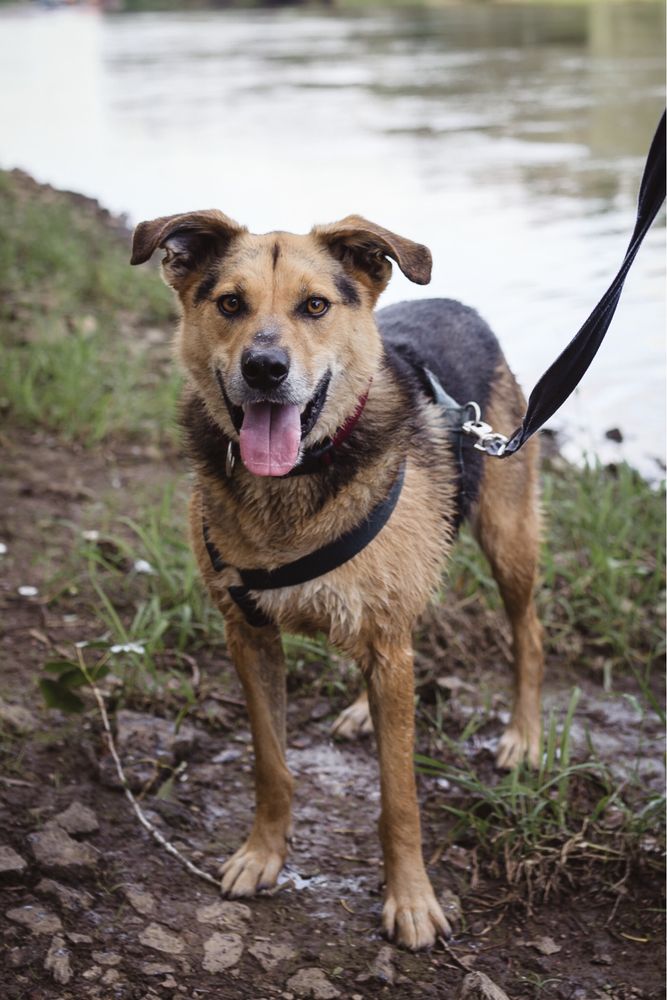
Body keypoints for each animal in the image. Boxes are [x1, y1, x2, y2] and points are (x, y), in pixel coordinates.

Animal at [130, 209, 544, 944]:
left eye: (315, 306)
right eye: (229, 304)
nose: (265, 369)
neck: (293, 481)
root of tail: (457, 305)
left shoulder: (387, 640)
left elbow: (399, 797)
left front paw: (410, 900)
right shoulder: (247, 634)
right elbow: (270, 764)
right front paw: (262, 854)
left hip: (507, 535)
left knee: (527, 631)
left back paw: (522, 736)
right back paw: (359, 709)